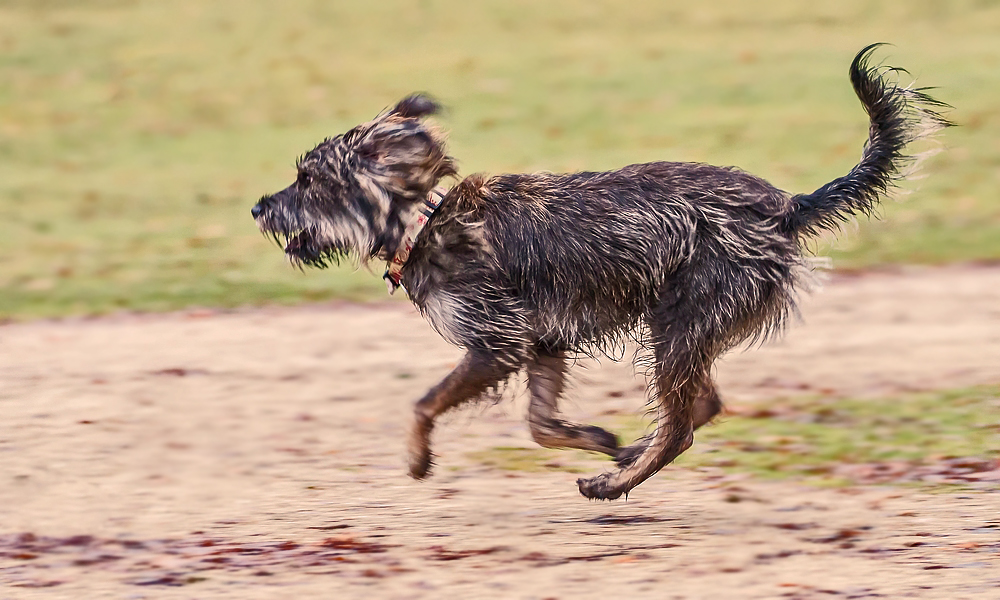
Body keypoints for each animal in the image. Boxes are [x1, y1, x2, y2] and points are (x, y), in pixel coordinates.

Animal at [254, 44, 948, 500]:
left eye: (308, 180)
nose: (259, 206)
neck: (425, 221)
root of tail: (784, 208)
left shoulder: (498, 345)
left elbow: (425, 403)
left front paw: (420, 459)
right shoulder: (540, 344)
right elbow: (541, 426)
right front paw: (596, 436)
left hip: (678, 328)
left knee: (682, 427)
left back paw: (613, 487)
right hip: (684, 333)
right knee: (699, 407)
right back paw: (627, 457)